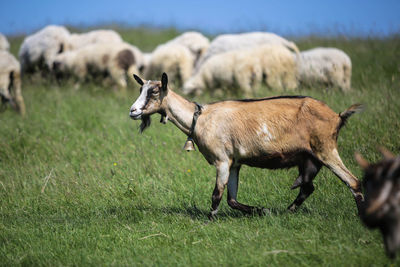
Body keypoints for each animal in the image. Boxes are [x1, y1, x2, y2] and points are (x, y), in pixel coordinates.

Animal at [130, 73, 364, 220]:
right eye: (141, 89)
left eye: (154, 92)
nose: (133, 111)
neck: (200, 118)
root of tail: (337, 116)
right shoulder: (235, 162)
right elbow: (232, 199)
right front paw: (262, 211)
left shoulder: (222, 160)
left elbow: (217, 194)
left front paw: (208, 220)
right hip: (310, 159)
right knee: (308, 187)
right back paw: (287, 211)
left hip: (326, 150)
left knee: (353, 182)